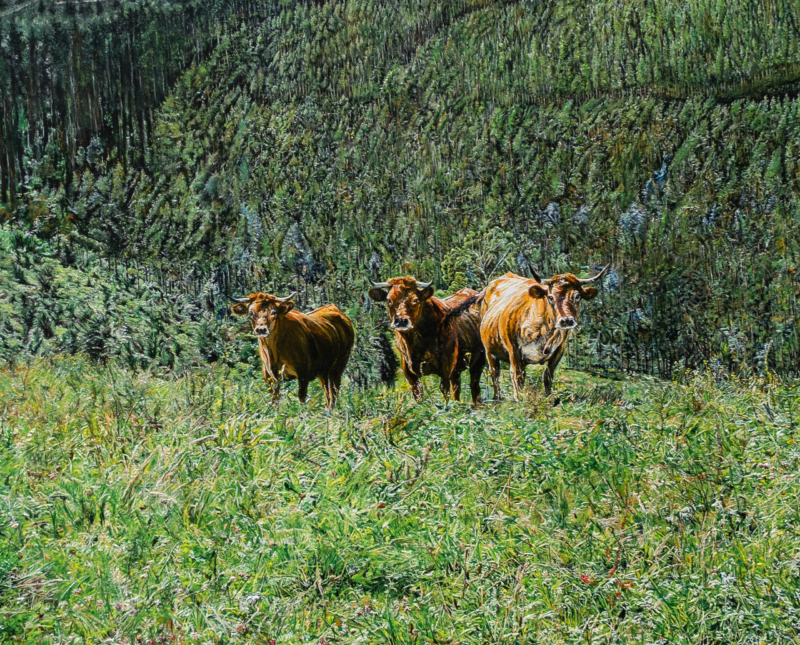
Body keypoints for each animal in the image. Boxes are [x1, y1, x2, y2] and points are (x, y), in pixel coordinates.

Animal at [367, 277, 485, 406]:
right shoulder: (410, 375)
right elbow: (418, 396)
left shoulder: (446, 369)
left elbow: (445, 394)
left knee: (474, 385)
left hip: (479, 360)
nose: (401, 321)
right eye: (388, 300)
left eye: (415, 299)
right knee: (457, 387)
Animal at [479, 266, 608, 400]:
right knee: (495, 373)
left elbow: (547, 377)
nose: (566, 320)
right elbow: (517, 377)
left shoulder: (558, 351)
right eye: (550, 297)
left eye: (577, 296)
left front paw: (547, 397)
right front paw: (519, 399)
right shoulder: (514, 352)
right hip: (489, 351)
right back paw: (496, 398)